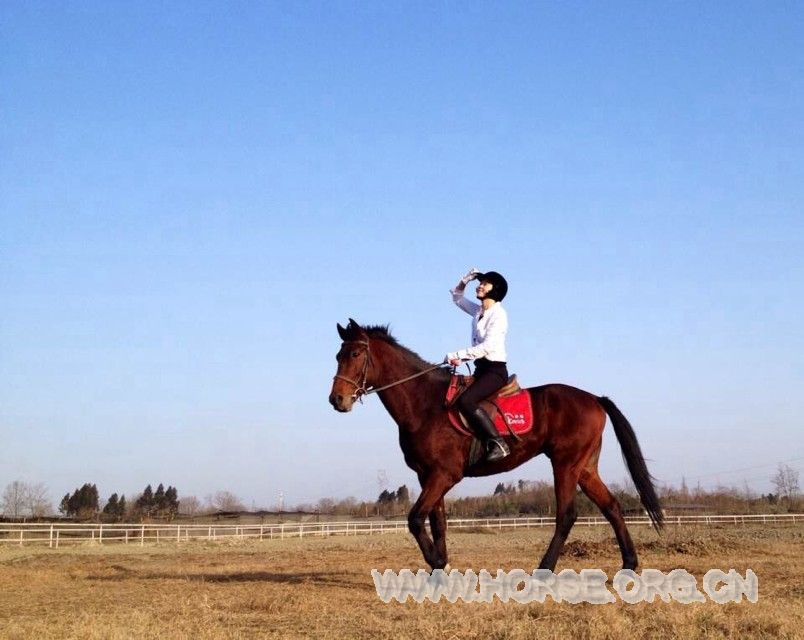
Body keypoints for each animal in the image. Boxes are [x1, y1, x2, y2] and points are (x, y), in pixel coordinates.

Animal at [330, 318, 664, 568]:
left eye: (355, 355)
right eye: (338, 356)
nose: (337, 400)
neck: (424, 404)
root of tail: (594, 398)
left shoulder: (444, 475)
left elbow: (414, 519)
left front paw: (436, 563)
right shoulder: (427, 475)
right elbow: (437, 523)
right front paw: (440, 568)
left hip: (565, 464)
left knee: (567, 515)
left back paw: (545, 568)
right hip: (585, 467)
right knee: (611, 506)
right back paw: (629, 564)